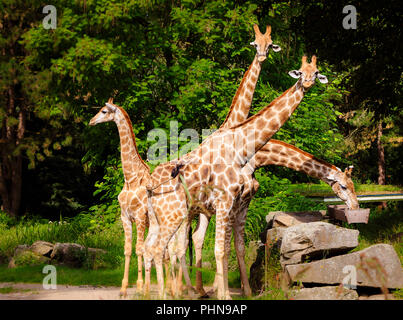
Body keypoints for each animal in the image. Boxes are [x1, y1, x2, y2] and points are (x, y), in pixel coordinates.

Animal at [88, 98, 152, 298]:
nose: (91, 121)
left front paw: (139, 286)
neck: (130, 178)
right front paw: (124, 289)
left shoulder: (139, 217)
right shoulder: (126, 217)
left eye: (103, 111)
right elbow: (128, 250)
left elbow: (139, 249)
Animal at [146, 55, 332, 300]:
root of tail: (150, 185)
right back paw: (175, 292)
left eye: (317, 71)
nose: (309, 83)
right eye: (301, 72)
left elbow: (231, 248)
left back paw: (180, 290)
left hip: (170, 216)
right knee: (169, 248)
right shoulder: (226, 203)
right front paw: (225, 293)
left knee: (168, 246)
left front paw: (240, 291)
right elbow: (220, 249)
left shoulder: (235, 205)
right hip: (176, 215)